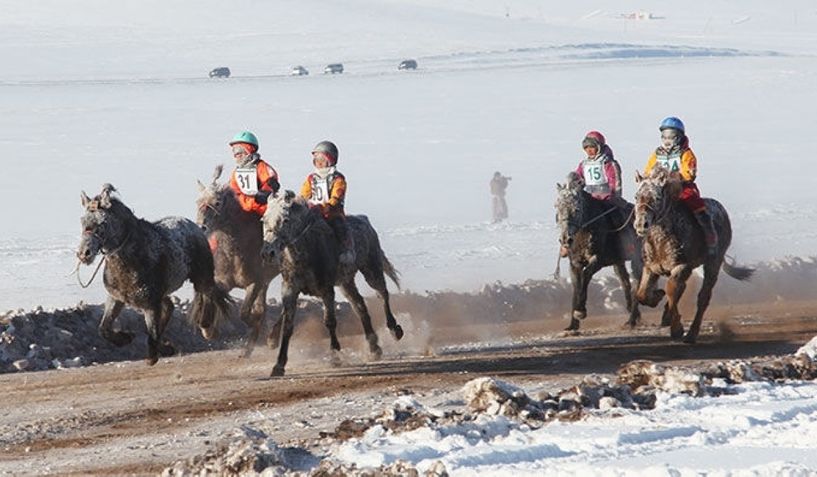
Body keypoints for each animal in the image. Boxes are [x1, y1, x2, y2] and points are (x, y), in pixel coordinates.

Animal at [76, 184, 231, 362]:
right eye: (83, 221)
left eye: (103, 223)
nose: (84, 253)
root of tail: (197, 228)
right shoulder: (116, 298)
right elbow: (104, 329)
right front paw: (126, 338)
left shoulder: (150, 304)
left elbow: (152, 334)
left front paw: (153, 354)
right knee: (170, 306)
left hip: (202, 278)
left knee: (210, 296)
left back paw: (207, 329)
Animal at [195, 165, 280, 356]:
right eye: (198, 202)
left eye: (217, 202)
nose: (201, 227)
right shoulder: (223, 282)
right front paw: (209, 330)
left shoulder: (254, 283)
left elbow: (246, 314)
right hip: (266, 282)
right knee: (262, 308)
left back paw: (272, 339)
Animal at [260, 190, 404, 376]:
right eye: (263, 219)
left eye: (285, 219)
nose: (268, 253)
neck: (306, 251)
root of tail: (365, 221)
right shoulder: (289, 290)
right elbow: (288, 325)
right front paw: (278, 364)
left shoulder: (326, 290)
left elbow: (330, 321)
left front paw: (335, 356)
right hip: (346, 283)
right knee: (360, 306)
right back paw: (374, 348)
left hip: (372, 269)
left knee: (383, 294)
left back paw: (395, 330)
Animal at [556, 171, 644, 330]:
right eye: (557, 208)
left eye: (576, 209)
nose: (565, 239)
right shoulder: (575, 263)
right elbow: (576, 286)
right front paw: (572, 324)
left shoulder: (598, 260)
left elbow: (585, 276)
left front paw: (580, 311)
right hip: (618, 262)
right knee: (625, 283)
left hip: (637, 260)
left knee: (637, 284)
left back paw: (632, 319)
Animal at [632, 166, 760, 342]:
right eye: (637, 196)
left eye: (657, 198)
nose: (641, 224)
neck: (662, 241)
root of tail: (722, 210)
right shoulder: (651, 268)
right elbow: (642, 294)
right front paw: (658, 297)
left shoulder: (682, 266)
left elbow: (671, 290)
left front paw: (677, 329)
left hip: (713, 264)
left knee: (703, 298)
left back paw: (691, 334)